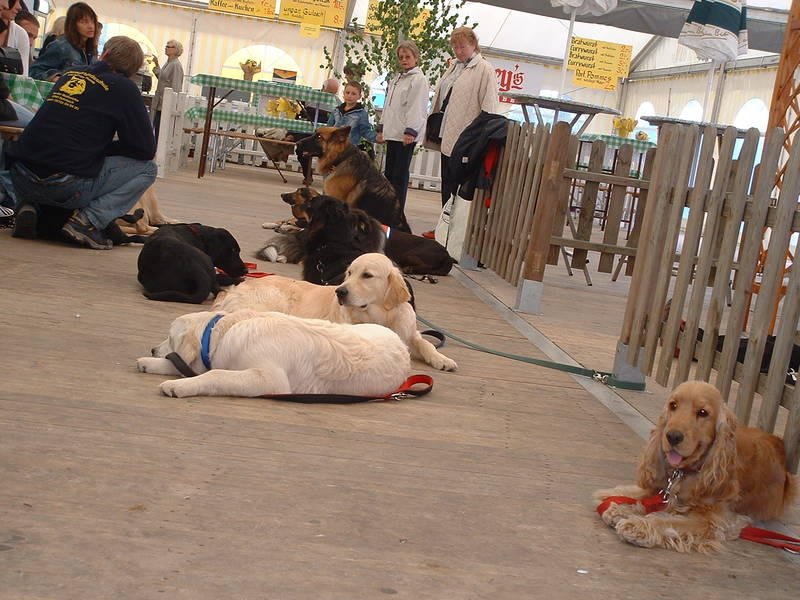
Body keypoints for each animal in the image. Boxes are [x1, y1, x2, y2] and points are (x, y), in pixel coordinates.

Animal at [137, 309, 411, 398]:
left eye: (170, 337)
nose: (152, 349)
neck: (222, 331)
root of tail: (402, 345)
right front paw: (150, 362)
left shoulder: (270, 380)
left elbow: (215, 374)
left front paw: (180, 386)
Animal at [213, 253, 457, 371]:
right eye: (349, 273)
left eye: (367, 275)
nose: (340, 292)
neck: (380, 315)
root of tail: (233, 288)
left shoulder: (410, 333)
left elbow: (426, 344)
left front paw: (442, 359)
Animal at [594, 381, 796, 552]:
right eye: (673, 405)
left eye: (703, 412)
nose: (672, 436)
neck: (689, 472)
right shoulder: (665, 489)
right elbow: (644, 495)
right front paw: (619, 508)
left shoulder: (713, 521)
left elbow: (669, 522)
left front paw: (638, 525)